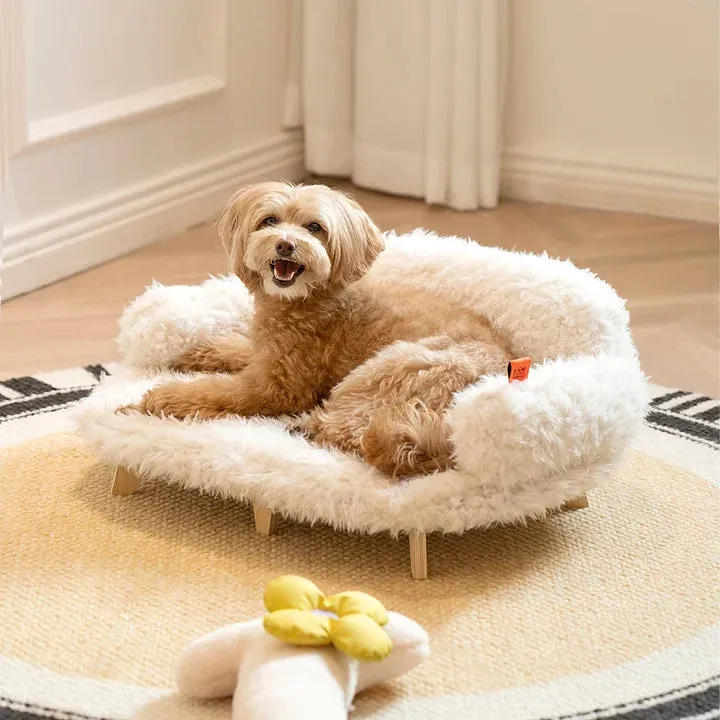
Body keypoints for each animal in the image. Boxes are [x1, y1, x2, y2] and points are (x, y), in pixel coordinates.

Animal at [124, 181, 510, 478]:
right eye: (269, 220)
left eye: (314, 228)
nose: (285, 244)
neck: (308, 299)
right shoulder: (267, 352)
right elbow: (238, 348)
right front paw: (196, 352)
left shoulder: (275, 388)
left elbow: (215, 391)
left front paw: (161, 398)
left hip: (391, 367)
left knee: (353, 432)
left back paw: (308, 427)